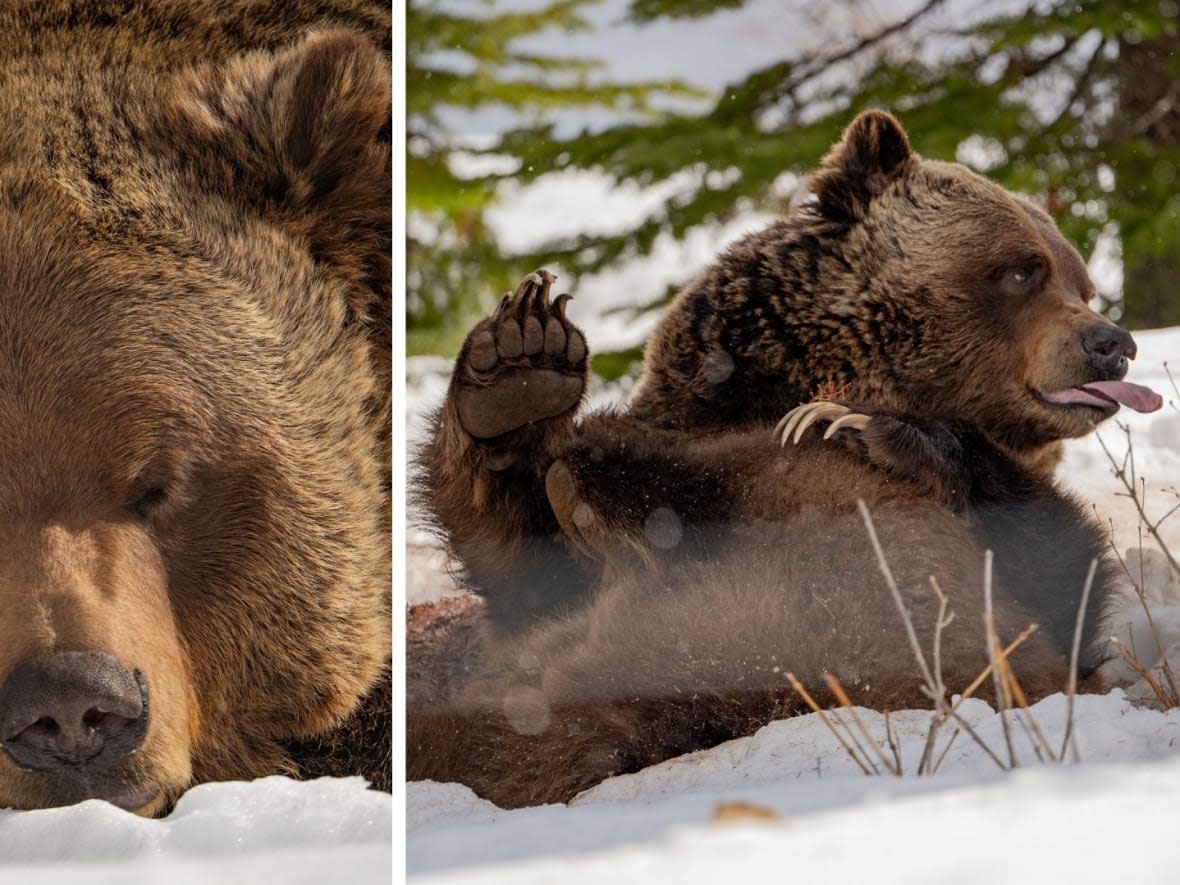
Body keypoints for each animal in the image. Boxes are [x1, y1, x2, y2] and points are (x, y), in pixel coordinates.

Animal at [410, 109, 1165, 811]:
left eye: (1081, 282)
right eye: (1020, 270)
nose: (1112, 342)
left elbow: (1052, 567)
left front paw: (862, 423)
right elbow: (524, 559)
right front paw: (521, 370)